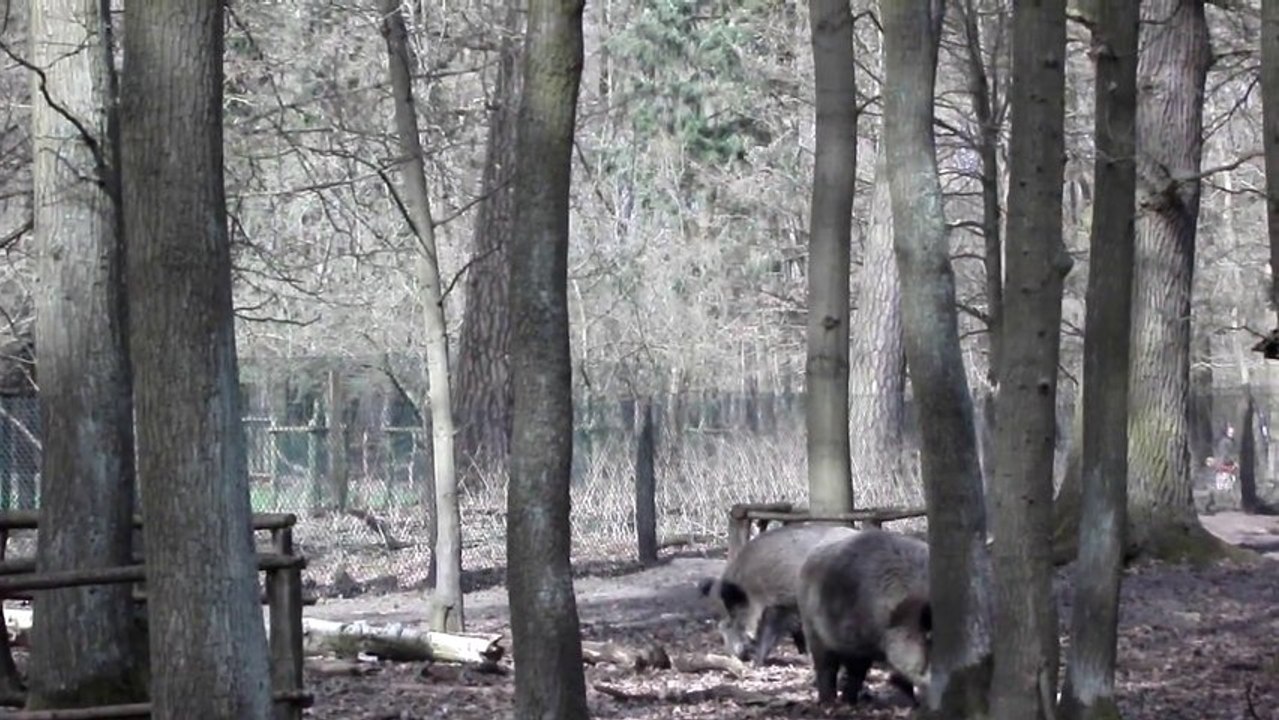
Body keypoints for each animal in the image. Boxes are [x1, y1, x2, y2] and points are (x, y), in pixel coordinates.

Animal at [796, 527, 931, 706]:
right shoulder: (855, 640)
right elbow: (856, 670)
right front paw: (848, 702)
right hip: (812, 627)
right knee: (825, 665)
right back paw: (828, 702)